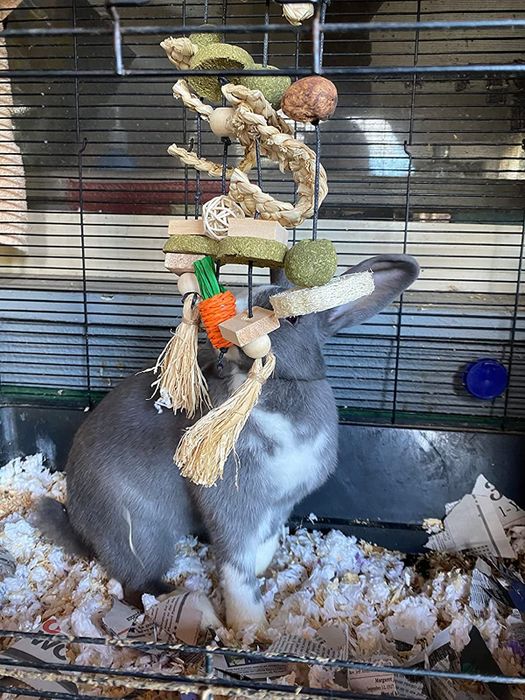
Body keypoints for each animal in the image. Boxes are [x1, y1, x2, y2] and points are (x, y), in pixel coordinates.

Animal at [35, 254, 419, 632]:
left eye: (293, 317)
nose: (232, 320)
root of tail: (82, 527)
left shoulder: (279, 505)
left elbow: (263, 543)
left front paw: (262, 568)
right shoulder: (231, 502)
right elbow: (236, 566)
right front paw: (249, 624)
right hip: (142, 534)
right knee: (138, 587)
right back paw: (199, 609)